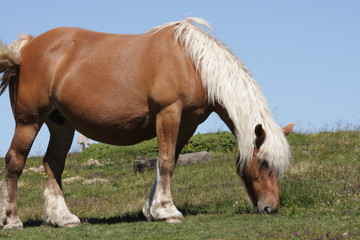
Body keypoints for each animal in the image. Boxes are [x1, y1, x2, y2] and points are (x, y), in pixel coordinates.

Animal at [0, 18, 292, 229]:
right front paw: (167, 210)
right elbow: (165, 161)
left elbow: (167, 162)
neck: (191, 64)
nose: (271, 207)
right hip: (29, 121)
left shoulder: (187, 123)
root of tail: (26, 47)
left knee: (53, 164)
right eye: (263, 162)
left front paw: (152, 210)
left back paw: (62, 218)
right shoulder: (168, 113)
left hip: (61, 124)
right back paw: (12, 220)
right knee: (15, 161)